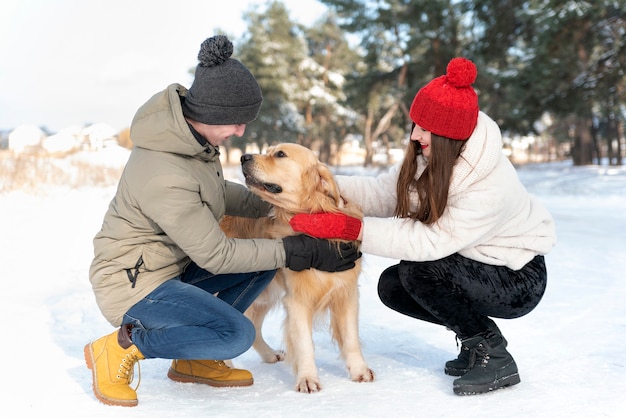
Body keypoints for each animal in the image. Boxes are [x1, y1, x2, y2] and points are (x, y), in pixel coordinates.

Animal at [219, 143, 372, 392]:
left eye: (280, 154)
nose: (244, 157)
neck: (313, 223)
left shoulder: (346, 293)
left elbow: (350, 338)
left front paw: (359, 370)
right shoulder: (298, 300)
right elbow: (304, 344)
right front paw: (308, 379)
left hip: (265, 292)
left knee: (253, 326)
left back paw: (269, 354)